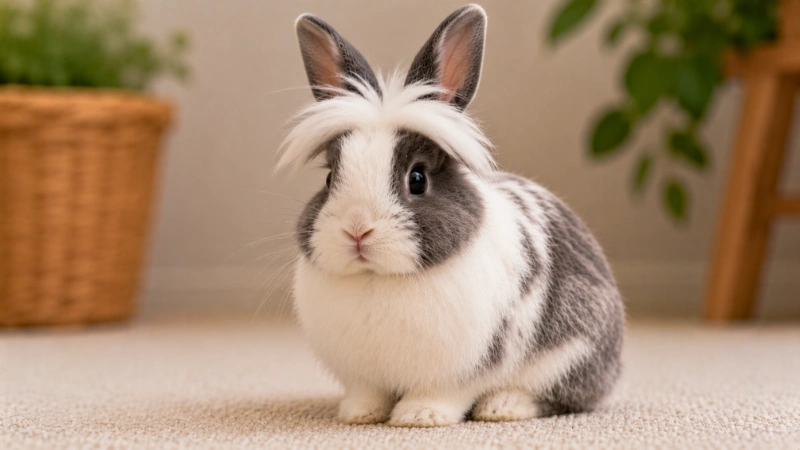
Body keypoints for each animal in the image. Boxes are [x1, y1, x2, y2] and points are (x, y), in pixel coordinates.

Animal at [277, 4, 624, 427]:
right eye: (330, 178)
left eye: (417, 179)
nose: (357, 231)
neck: (378, 278)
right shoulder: (364, 376)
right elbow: (368, 393)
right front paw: (359, 414)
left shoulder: (459, 371)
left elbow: (442, 394)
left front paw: (419, 416)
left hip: (571, 354)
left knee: (558, 396)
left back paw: (503, 407)